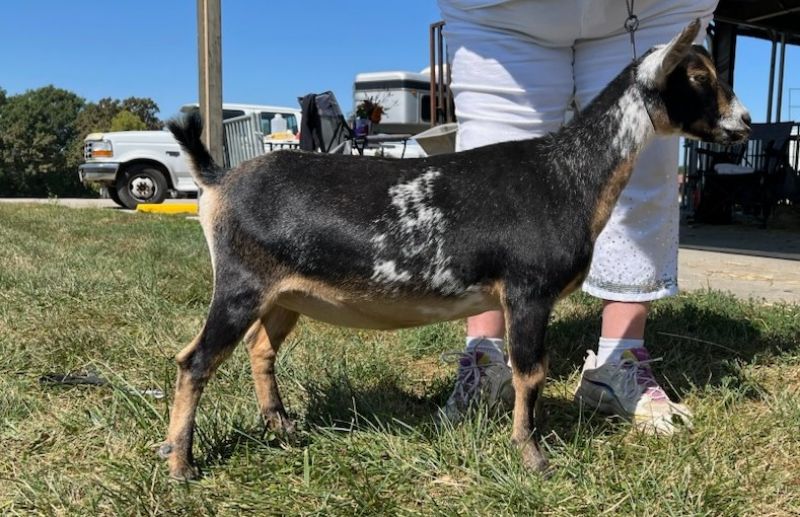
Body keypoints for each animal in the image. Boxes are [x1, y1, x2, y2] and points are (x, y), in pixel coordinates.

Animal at [160, 20, 750, 480]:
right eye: (700, 77)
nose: (744, 123)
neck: (568, 174)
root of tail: (218, 179)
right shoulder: (528, 290)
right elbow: (530, 370)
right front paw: (532, 455)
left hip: (284, 294)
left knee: (261, 348)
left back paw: (280, 427)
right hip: (241, 284)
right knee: (195, 360)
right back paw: (181, 463)